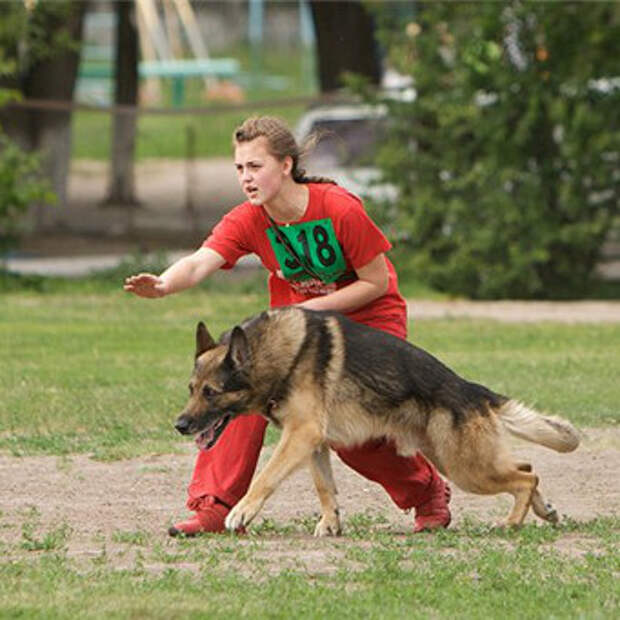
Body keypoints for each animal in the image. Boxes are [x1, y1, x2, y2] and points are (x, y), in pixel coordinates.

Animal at [174, 308, 580, 536]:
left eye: (210, 392)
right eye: (191, 388)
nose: (179, 425)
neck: (275, 355)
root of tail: (473, 390)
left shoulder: (301, 435)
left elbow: (266, 476)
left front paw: (241, 511)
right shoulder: (313, 443)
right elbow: (325, 487)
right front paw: (330, 524)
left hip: (466, 469)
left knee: (526, 478)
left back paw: (512, 523)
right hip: (461, 462)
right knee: (526, 467)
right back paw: (544, 511)